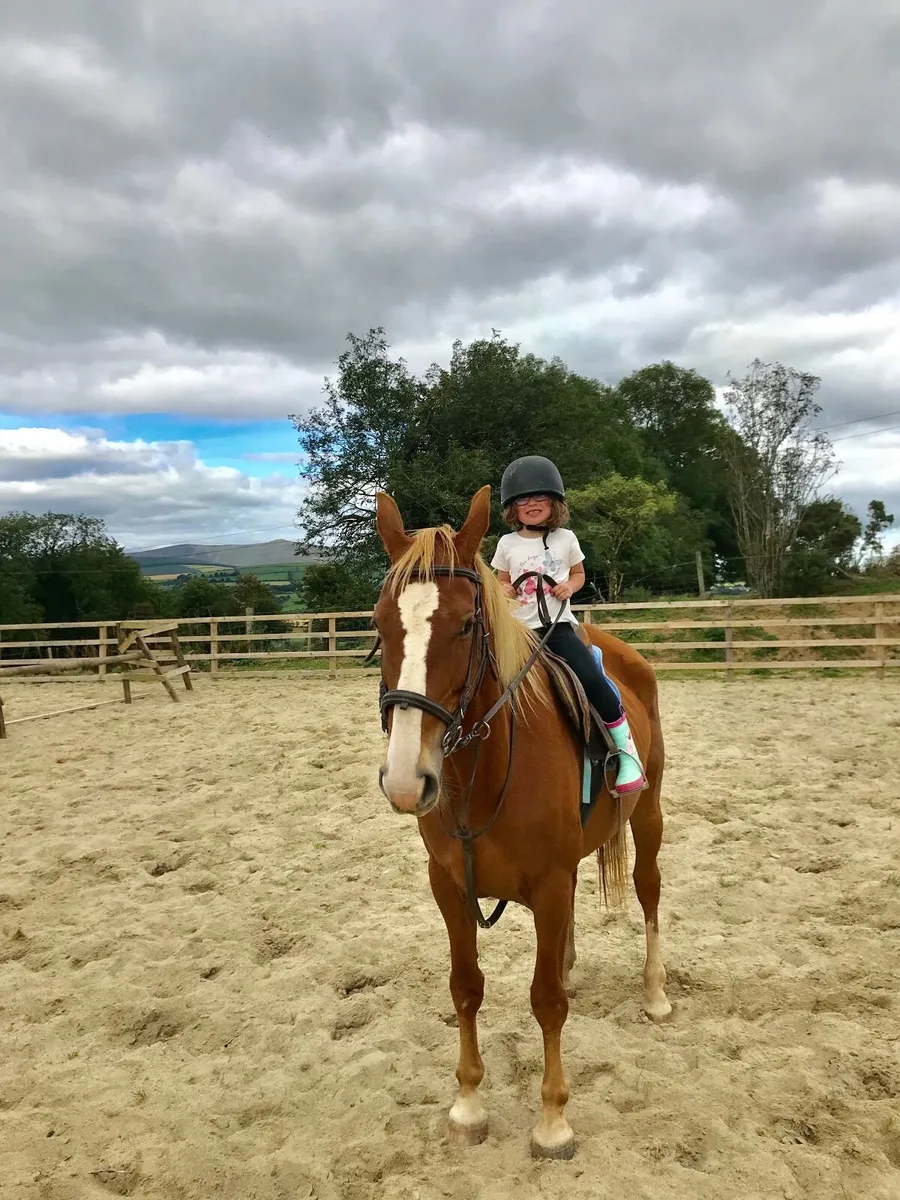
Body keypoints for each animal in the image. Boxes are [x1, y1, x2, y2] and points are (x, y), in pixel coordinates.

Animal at [372, 485, 671, 1160]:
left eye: (464, 624)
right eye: (379, 624)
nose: (406, 782)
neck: (486, 773)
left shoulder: (550, 882)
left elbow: (546, 1003)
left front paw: (553, 1120)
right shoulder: (450, 887)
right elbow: (466, 987)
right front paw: (467, 1106)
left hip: (649, 815)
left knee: (648, 892)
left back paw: (655, 992)